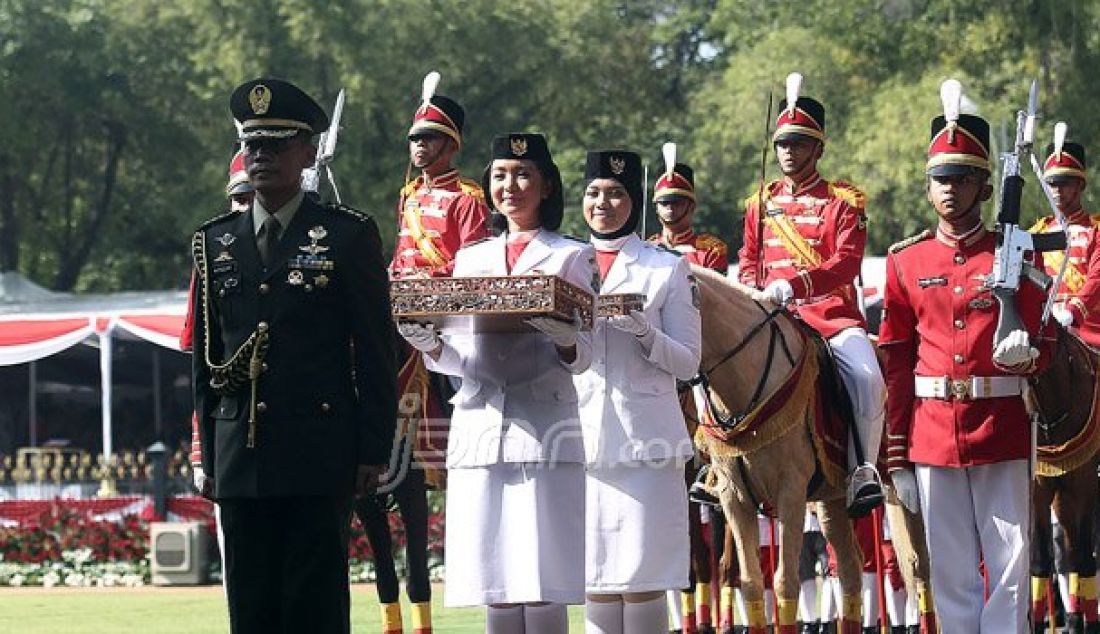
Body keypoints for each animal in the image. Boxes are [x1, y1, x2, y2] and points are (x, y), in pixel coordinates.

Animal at [690, 267, 862, 634]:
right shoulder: (734, 497)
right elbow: (752, 582)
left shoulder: (791, 491)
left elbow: (785, 582)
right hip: (832, 499)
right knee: (851, 571)